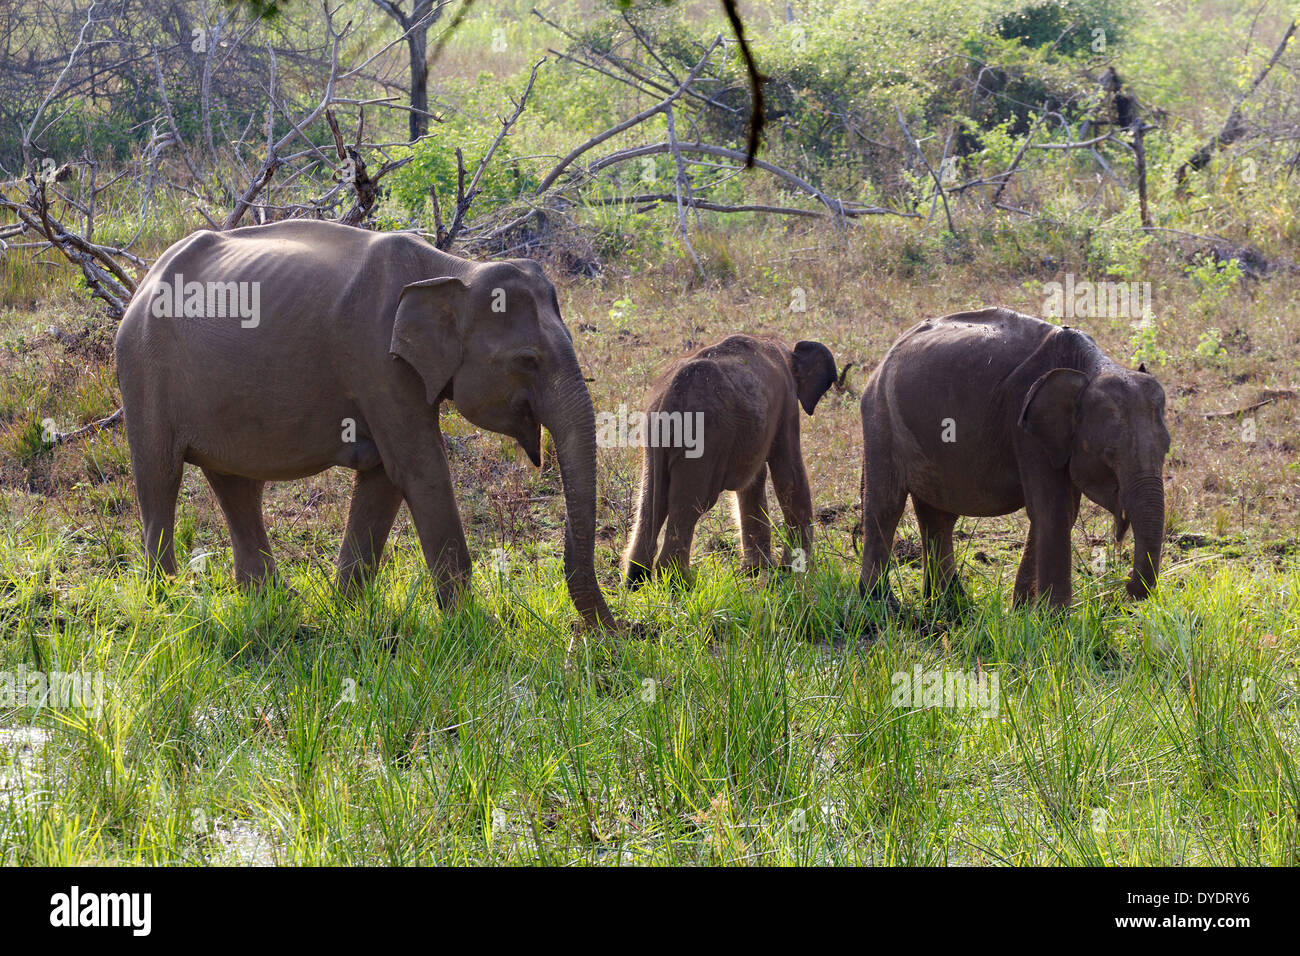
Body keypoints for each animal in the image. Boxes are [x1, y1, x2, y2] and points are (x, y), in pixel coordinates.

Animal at [114, 221, 616, 632]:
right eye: (527, 361)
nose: (615, 633)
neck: (453, 270)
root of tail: (144, 281)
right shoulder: (377, 361)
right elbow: (420, 468)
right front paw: (478, 629)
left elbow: (385, 477)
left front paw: (344, 609)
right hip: (142, 369)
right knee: (160, 475)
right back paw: (168, 601)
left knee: (236, 484)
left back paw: (271, 600)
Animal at [621, 335, 842, 590]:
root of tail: (669, 397)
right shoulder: (786, 402)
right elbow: (789, 474)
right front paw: (793, 572)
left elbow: (753, 482)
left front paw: (758, 571)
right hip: (703, 439)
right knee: (693, 503)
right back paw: (681, 584)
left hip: (655, 439)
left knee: (652, 501)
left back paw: (636, 581)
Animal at [857, 308, 1175, 613]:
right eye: (1109, 455)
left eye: (1166, 449)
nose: (1126, 587)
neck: (1091, 366)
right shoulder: (1025, 429)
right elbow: (1054, 511)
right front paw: (1054, 620)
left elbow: (1061, 511)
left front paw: (1023, 612)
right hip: (880, 416)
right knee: (886, 505)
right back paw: (881, 605)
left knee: (938, 513)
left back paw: (951, 607)